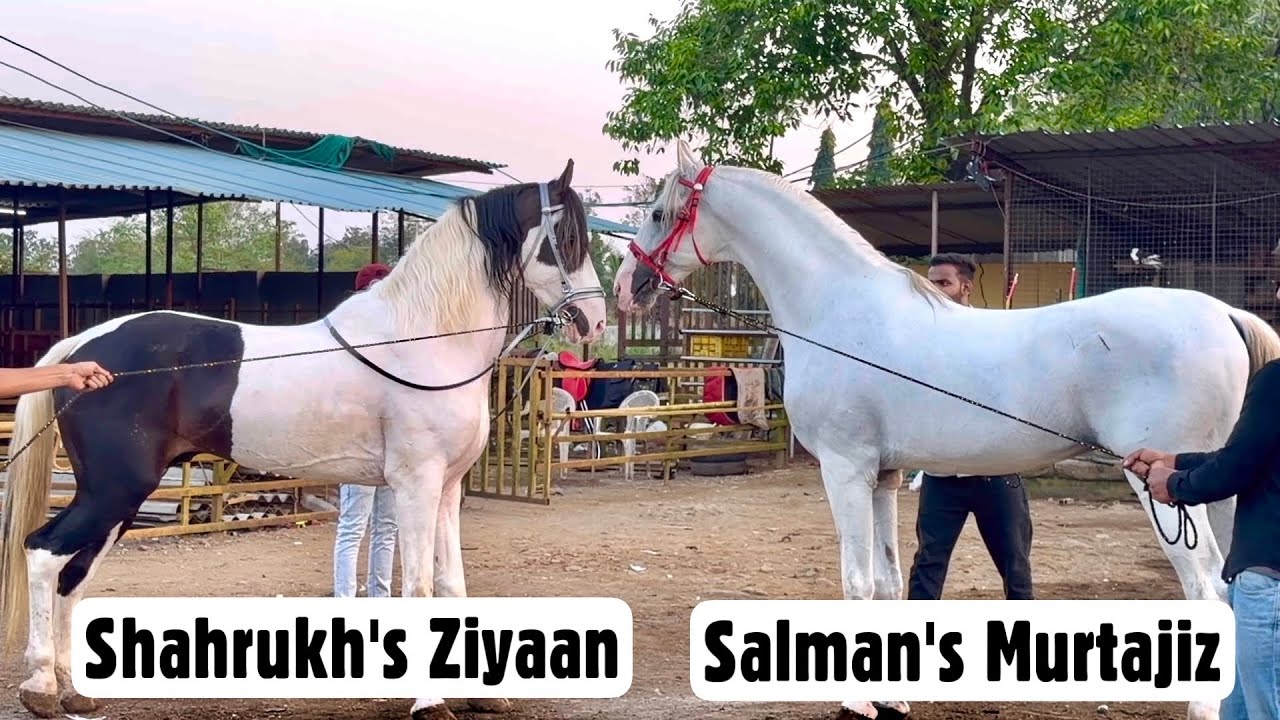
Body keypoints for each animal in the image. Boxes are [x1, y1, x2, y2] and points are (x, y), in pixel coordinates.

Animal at [0, 160, 608, 720]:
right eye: (567, 240)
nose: (596, 322)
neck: (423, 339)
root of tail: (81, 352)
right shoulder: (416, 485)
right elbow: (419, 588)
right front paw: (430, 702)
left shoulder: (448, 490)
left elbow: (452, 587)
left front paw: (482, 696)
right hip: (113, 491)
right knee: (44, 553)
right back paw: (42, 687)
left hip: (118, 500)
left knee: (74, 575)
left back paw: (73, 690)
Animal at [613, 140, 1280, 720]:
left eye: (657, 213)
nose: (626, 287)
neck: (838, 313)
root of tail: (1224, 312)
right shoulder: (881, 476)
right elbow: (887, 582)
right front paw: (890, 698)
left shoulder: (845, 470)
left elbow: (856, 581)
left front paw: (856, 702)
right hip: (1212, 486)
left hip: (1161, 487)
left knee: (1207, 589)